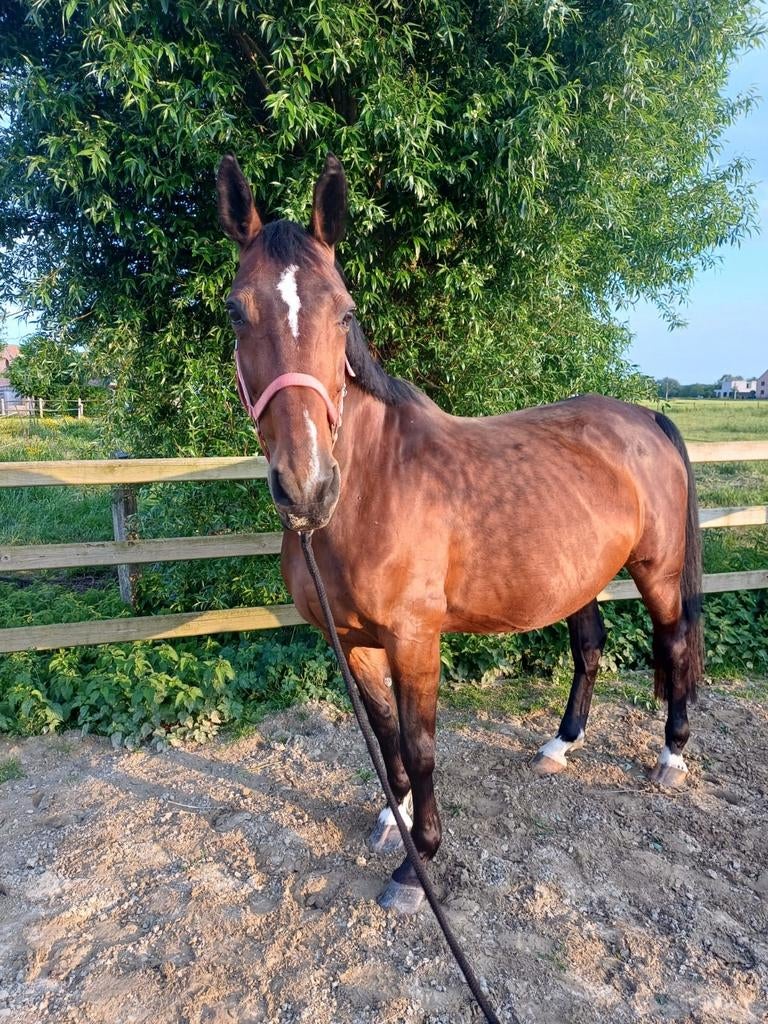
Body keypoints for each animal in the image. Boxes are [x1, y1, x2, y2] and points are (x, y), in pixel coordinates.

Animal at [216, 152, 704, 914]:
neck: (369, 488)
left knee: (675, 642)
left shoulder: (415, 638)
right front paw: (393, 818)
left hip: (657, 569)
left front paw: (417, 862)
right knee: (590, 646)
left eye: (346, 310)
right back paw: (560, 745)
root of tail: (645, 416)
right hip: (581, 575)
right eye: (237, 310)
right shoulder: (352, 640)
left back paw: (671, 755)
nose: (306, 485)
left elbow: (420, 744)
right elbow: (385, 735)